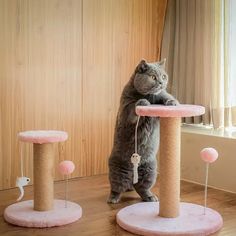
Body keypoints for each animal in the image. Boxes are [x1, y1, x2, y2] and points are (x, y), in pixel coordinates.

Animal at [108, 58, 178, 203]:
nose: (161, 83)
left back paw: (150, 196)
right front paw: (142, 102)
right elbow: (132, 110)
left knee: (142, 188)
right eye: (153, 77)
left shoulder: (161, 97)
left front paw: (172, 102)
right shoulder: (125, 107)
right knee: (117, 187)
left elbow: (165, 97)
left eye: (164, 76)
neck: (150, 96)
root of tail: (132, 178)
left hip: (150, 170)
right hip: (117, 170)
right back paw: (113, 198)